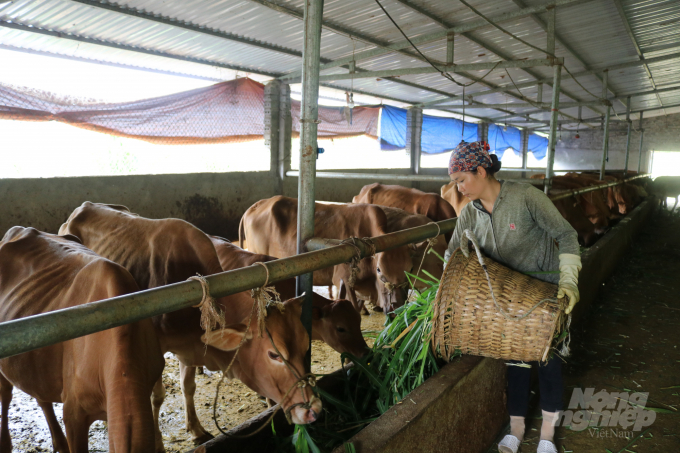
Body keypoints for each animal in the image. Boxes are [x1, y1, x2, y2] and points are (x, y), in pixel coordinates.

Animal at [59, 204, 322, 448]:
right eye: (274, 355)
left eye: (304, 346)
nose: (314, 409)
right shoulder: (154, 350)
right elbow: (157, 396)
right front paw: (158, 442)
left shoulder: (190, 346)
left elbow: (188, 387)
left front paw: (195, 428)